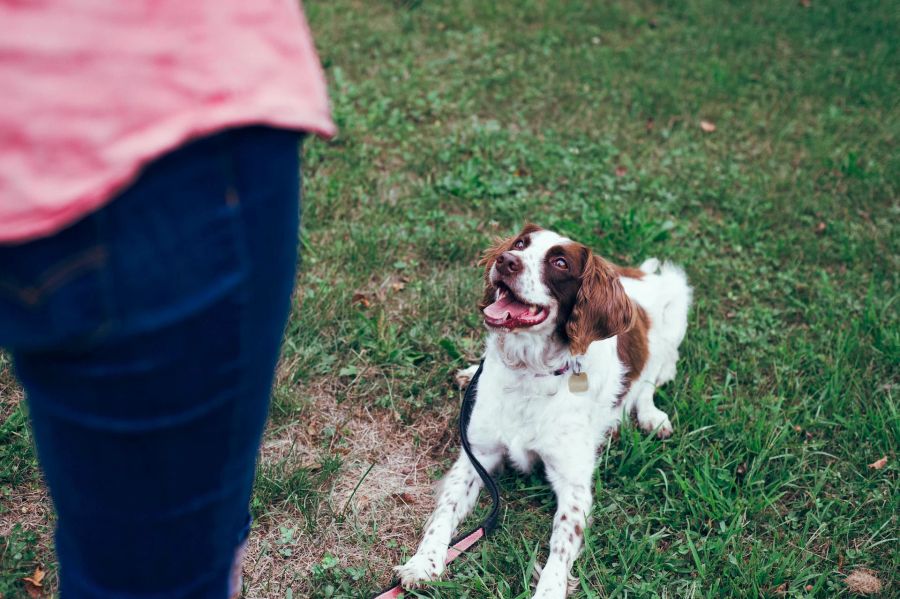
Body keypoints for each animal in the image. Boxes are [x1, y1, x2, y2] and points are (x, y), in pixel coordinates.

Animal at [394, 226, 688, 599]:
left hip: (676, 305)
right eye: (520, 245)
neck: (529, 371)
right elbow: (444, 512)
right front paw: (423, 563)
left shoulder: (573, 483)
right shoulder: (477, 456)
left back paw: (652, 416)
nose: (506, 261)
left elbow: (560, 544)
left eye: (560, 263)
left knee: (651, 377)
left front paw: (549, 590)